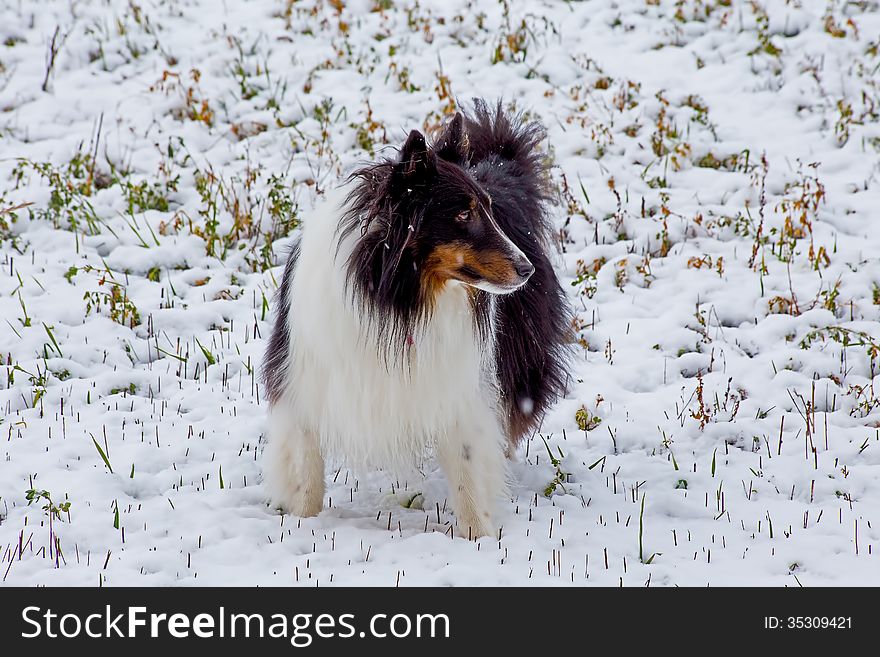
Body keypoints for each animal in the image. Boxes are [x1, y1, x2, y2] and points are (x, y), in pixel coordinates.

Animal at [260, 100, 572, 536]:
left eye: (488, 210)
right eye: (464, 215)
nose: (526, 270)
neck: (397, 300)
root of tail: (498, 163)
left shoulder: (459, 386)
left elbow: (470, 472)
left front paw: (480, 540)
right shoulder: (304, 382)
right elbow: (306, 475)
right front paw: (304, 526)